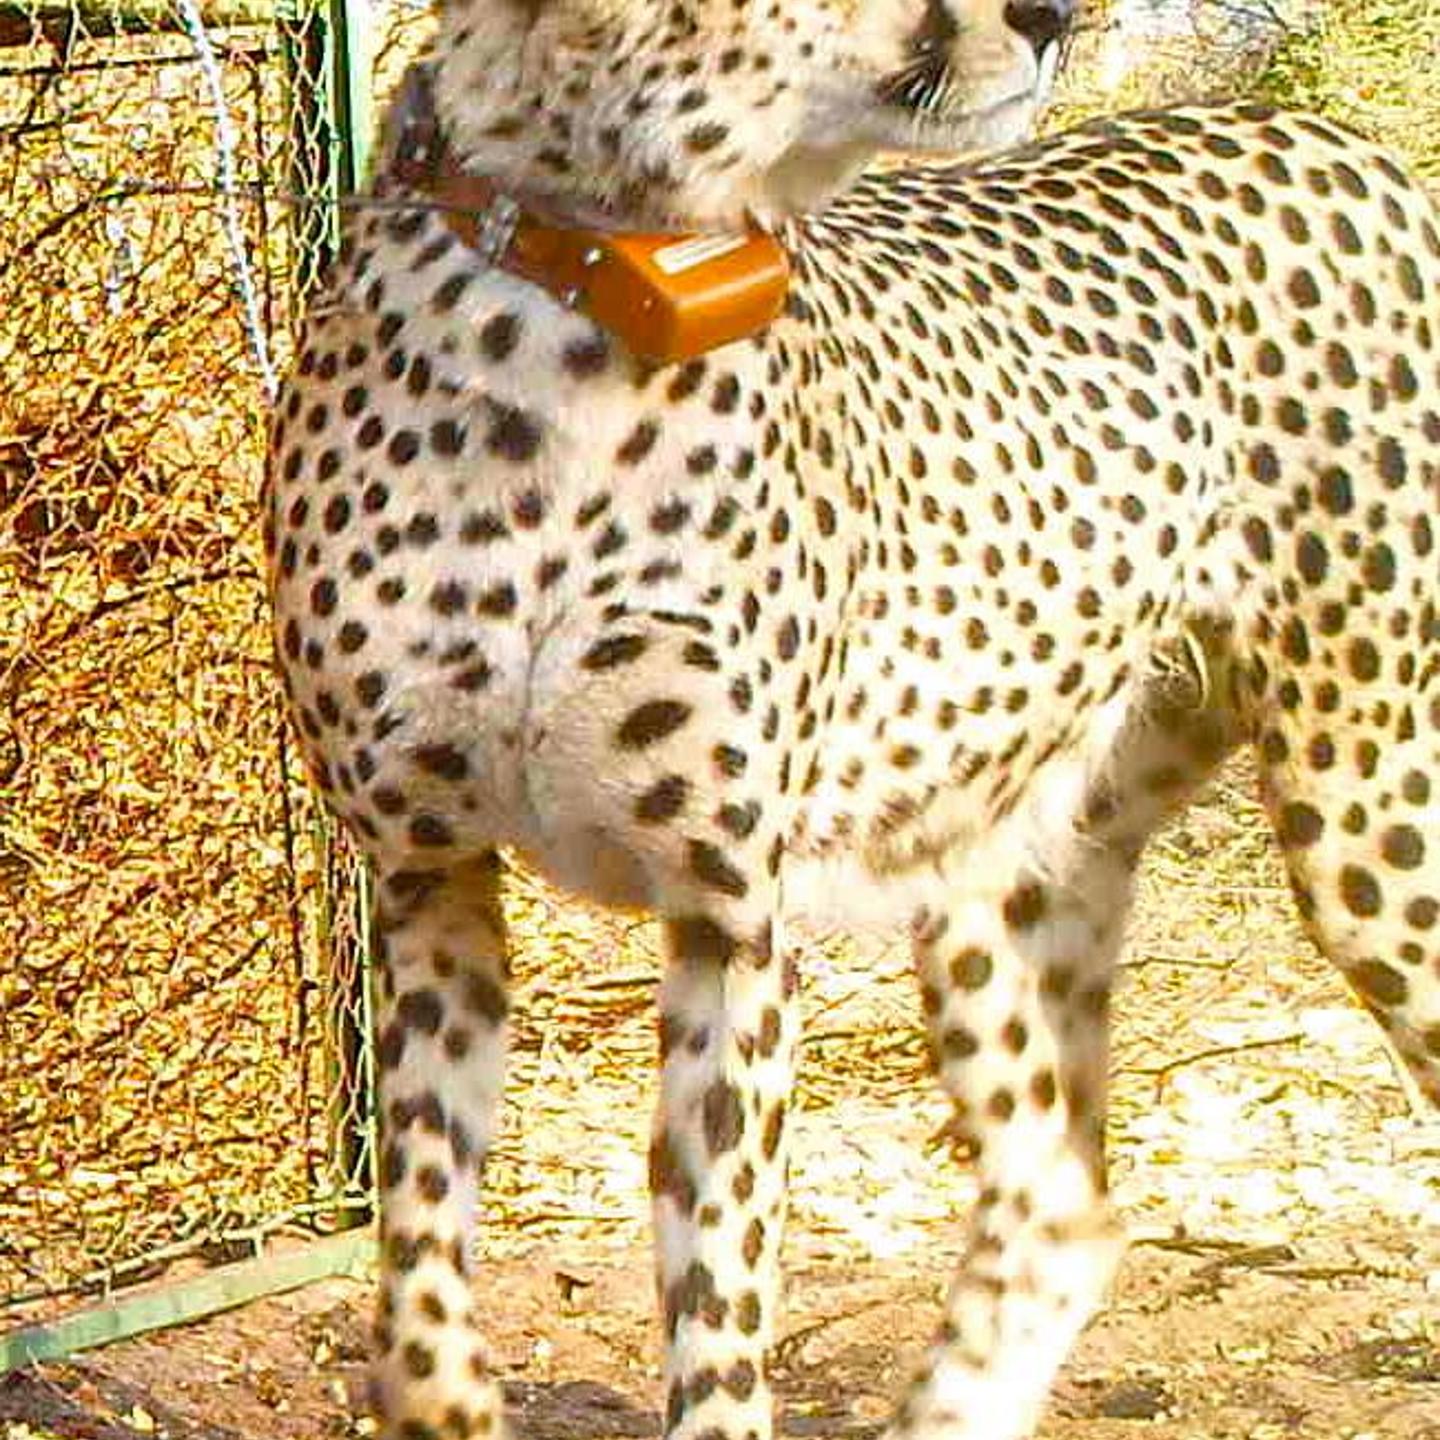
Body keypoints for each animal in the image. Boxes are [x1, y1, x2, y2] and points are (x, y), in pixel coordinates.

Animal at [262, 1, 1440, 1437]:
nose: (1055, 18)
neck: (593, 287)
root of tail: (1321, 137)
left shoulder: (728, 917)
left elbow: (717, 1295)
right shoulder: (428, 873)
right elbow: (419, 1240)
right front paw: (442, 1391)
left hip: (1362, 812)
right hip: (991, 863)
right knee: (1059, 1202)